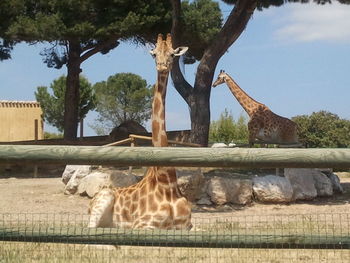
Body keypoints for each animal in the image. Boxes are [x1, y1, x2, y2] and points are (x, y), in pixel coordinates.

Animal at [87, 34, 191, 232]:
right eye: (154, 53)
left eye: (172, 54)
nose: (162, 67)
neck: (167, 182)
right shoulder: (142, 225)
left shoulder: (188, 227)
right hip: (102, 201)